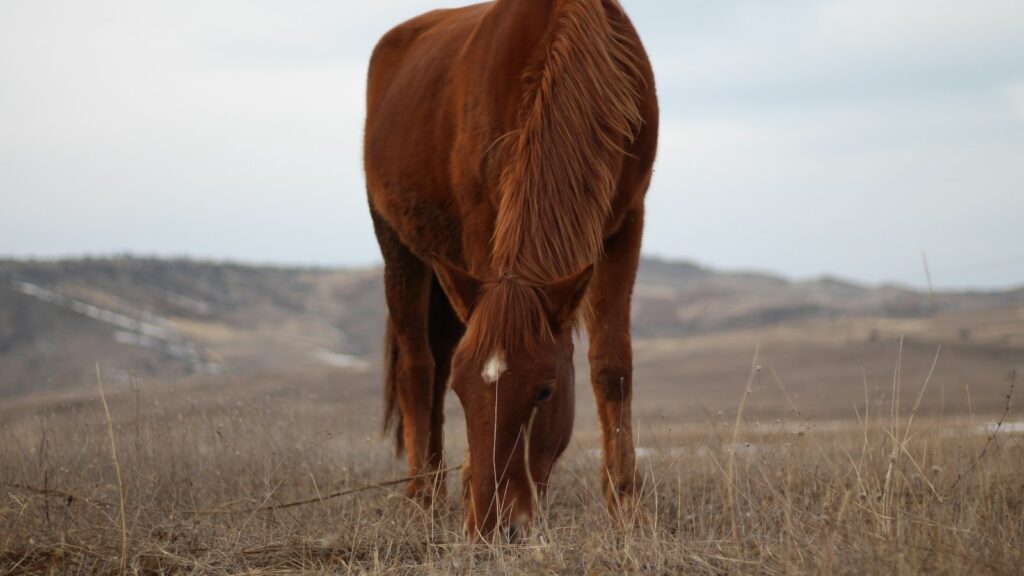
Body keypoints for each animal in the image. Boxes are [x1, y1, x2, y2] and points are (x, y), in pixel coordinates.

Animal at [364, 0, 658, 539]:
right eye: (465, 393)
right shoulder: (483, 222)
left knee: (435, 360)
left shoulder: (627, 221)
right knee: (418, 368)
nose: (490, 525)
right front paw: (464, 486)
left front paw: (625, 504)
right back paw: (422, 496)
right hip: (398, 247)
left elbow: (612, 365)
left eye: (545, 390)